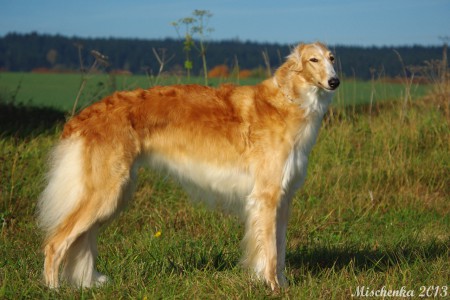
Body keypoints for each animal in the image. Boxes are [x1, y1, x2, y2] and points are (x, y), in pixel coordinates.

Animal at [38, 41, 340, 290]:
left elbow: (280, 248)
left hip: (113, 194)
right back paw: (53, 289)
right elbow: (271, 252)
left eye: (332, 58)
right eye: (313, 59)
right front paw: (273, 287)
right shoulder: (267, 196)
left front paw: (283, 285)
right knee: (54, 243)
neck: (288, 101)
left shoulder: (284, 198)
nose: (335, 81)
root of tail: (82, 117)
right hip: (106, 192)